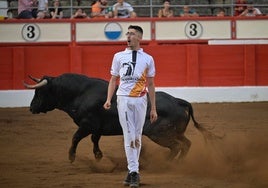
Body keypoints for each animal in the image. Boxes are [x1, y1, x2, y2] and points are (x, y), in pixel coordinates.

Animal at [24, 73, 217, 163]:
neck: (80, 93)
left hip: (158, 134)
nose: (31, 107)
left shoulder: (87, 124)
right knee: (186, 144)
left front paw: (71, 157)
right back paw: (176, 163)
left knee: (176, 146)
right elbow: (95, 139)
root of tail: (177, 101)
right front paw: (98, 155)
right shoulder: (97, 127)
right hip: (175, 133)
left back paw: (166, 163)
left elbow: (76, 137)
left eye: (40, 91)